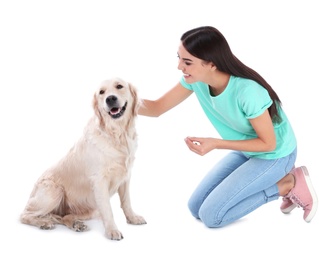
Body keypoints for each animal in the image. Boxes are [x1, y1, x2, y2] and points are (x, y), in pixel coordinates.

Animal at [18, 77, 146, 240]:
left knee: (64, 217)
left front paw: (133, 218)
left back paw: (76, 224)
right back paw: (44, 223)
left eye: (119, 86)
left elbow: (126, 202)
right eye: (101, 92)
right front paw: (112, 230)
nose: (110, 99)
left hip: (89, 208)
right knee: (25, 215)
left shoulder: (126, 176)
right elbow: (108, 210)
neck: (117, 134)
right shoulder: (99, 180)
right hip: (55, 190)